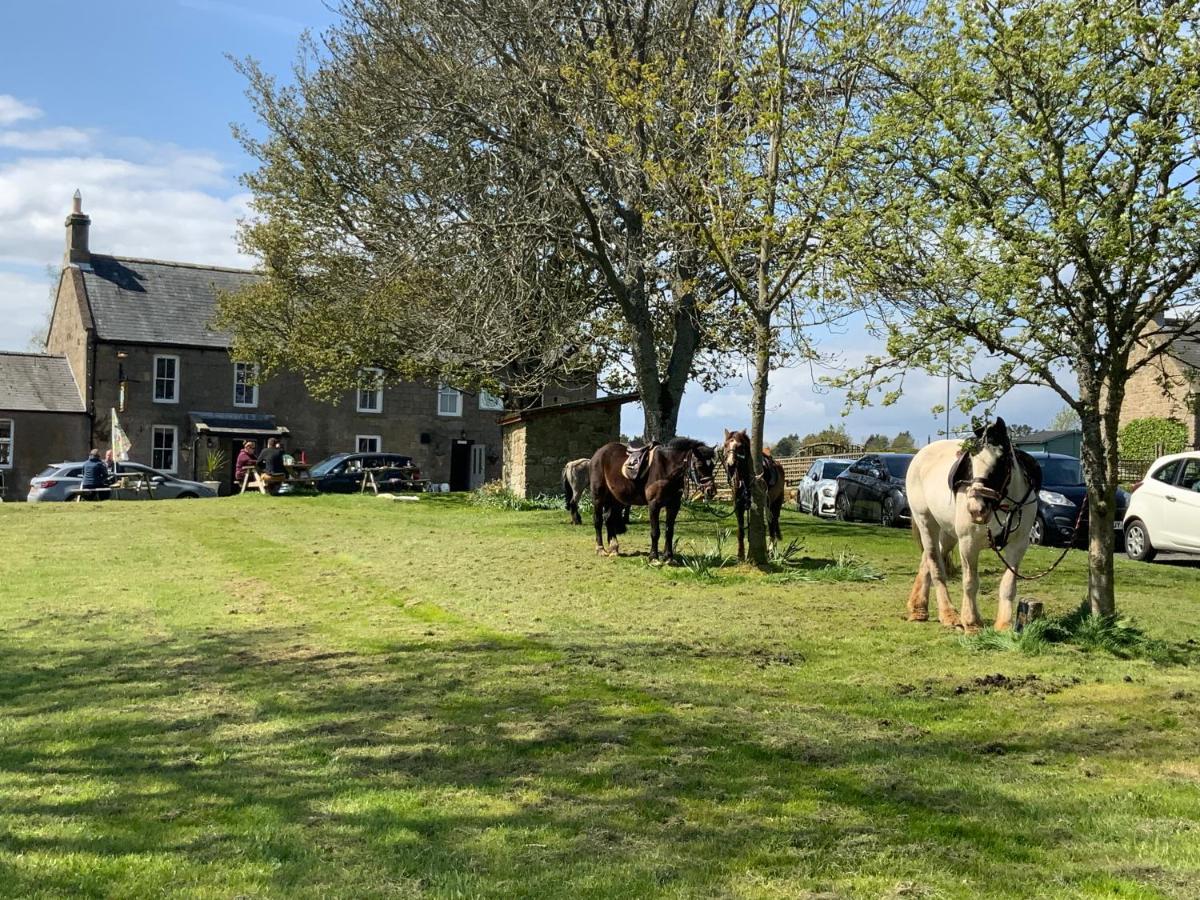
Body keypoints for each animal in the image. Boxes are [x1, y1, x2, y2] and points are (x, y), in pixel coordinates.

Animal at [720, 432, 787, 564]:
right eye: (725, 445)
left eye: (740, 446)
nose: (730, 465)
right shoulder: (738, 506)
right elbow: (740, 530)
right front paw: (740, 554)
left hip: (775, 503)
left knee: (772, 523)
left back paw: (771, 550)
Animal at [907, 417, 1041, 633]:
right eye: (971, 463)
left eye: (1000, 460)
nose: (976, 509)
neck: (1002, 505)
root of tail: (920, 455)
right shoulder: (968, 544)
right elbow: (970, 582)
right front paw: (972, 622)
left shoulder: (1018, 546)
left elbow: (1008, 584)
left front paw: (1004, 624)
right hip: (927, 523)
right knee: (935, 565)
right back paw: (948, 614)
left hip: (948, 534)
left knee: (926, 560)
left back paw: (918, 608)